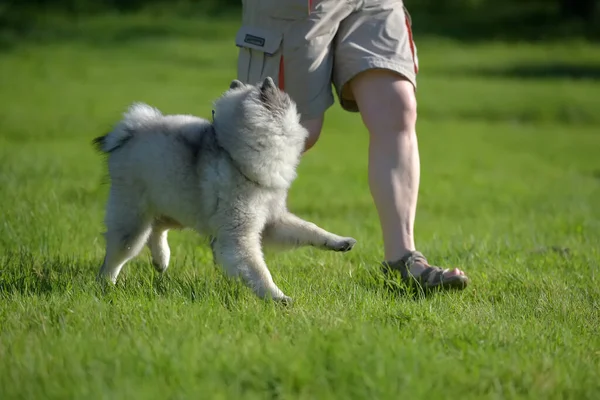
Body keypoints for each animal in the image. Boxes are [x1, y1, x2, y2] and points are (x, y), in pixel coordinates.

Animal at [94, 77, 356, 304]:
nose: (271, 80)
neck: (235, 154)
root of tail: (128, 133)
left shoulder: (272, 220)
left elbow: (309, 229)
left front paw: (339, 241)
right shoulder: (240, 234)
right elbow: (259, 270)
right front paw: (278, 297)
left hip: (178, 205)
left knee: (158, 227)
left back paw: (161, 259)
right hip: (134, 220)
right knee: (118, 254)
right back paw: (107, 285)